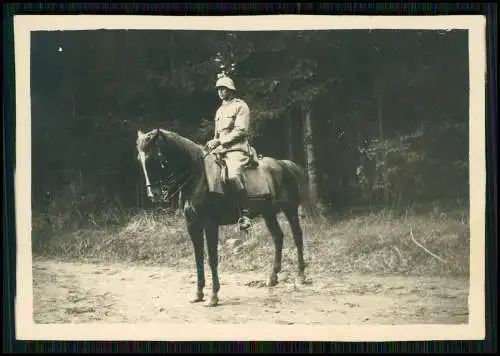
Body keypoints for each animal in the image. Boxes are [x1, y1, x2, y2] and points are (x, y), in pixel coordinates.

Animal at [137, 127, 316, 306]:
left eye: (157, 157)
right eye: (140, 160)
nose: (153, 194)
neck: (198, 178)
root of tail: (284, 164)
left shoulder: (210, 224)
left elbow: (212, 258)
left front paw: (213, 296)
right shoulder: (192, 225)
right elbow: (198, 258)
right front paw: (198, 293)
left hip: (290, 210)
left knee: (297, 237)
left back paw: (300, 276)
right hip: (269, 214)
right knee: (278, 237)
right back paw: (272, 277)